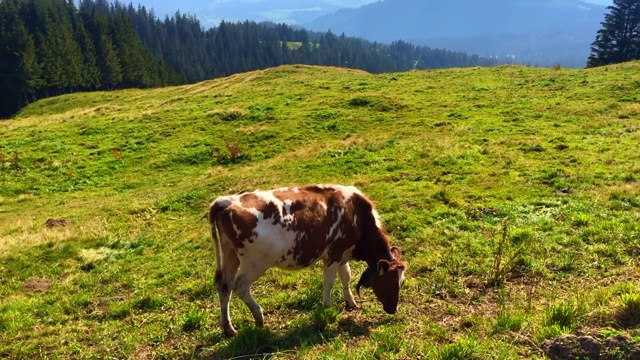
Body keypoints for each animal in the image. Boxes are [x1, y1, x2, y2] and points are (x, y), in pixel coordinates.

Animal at [210, 184, 410, 336]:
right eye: (391, 283)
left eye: (402, 282)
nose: (393, 309)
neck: (356, 214)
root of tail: (226, 201)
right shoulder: (333, 255)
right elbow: (329, 282)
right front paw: (327, 307)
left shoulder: (342, 253)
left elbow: (346, 277)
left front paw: (351, 303)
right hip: (255, 263)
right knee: (240, 285)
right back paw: (259, 317)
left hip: (230, 254)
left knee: (224, 286)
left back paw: (229, 328)